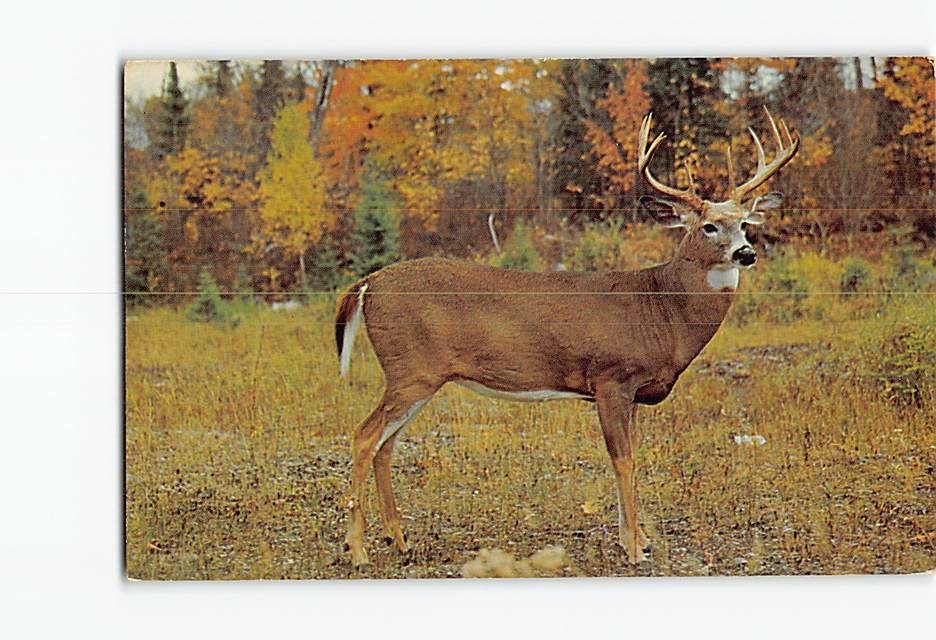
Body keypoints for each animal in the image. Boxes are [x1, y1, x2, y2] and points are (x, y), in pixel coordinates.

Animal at [334, 107, 799, 566]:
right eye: (707, 227)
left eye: (744, 223)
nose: (746, 253)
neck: (661, 310)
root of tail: (367, 283)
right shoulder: (611, 378)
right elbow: (622, 460)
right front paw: (634, 548)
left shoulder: (632, 392)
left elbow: (633, 458)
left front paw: (639, 538)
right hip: (410, 370)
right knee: (363, 437)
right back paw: (357, 551)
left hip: (417, 376)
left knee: (386, 446)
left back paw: (399, 540)